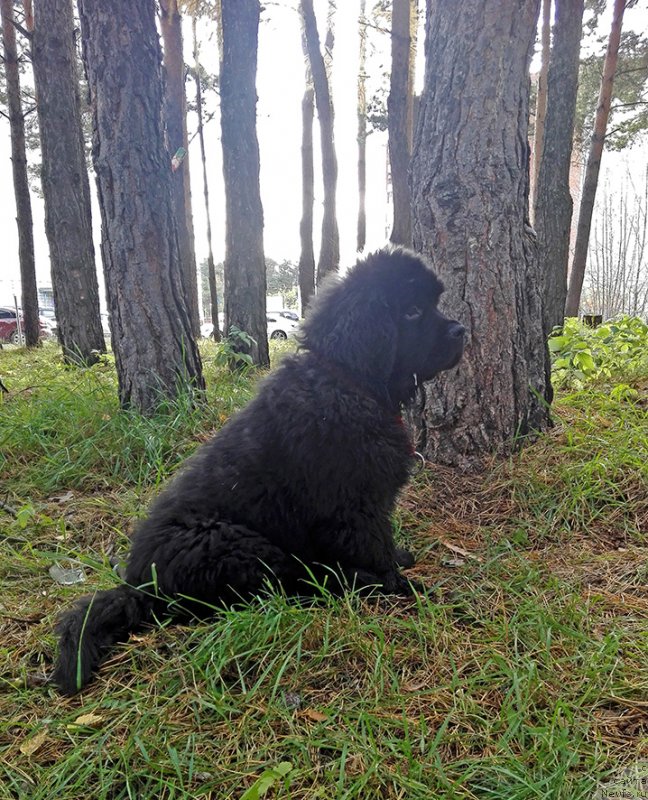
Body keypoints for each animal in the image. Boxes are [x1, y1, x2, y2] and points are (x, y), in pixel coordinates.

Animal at [53, 248, 464, 692]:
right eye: (412, 311)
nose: (462, 330)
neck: (348, 381)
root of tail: (138, 588)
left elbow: (384, 541)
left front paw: (402, 562)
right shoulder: (352, 505)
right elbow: (375, 546)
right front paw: (402, 586)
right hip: (240, 546)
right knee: (283, 588)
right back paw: (350, 585)